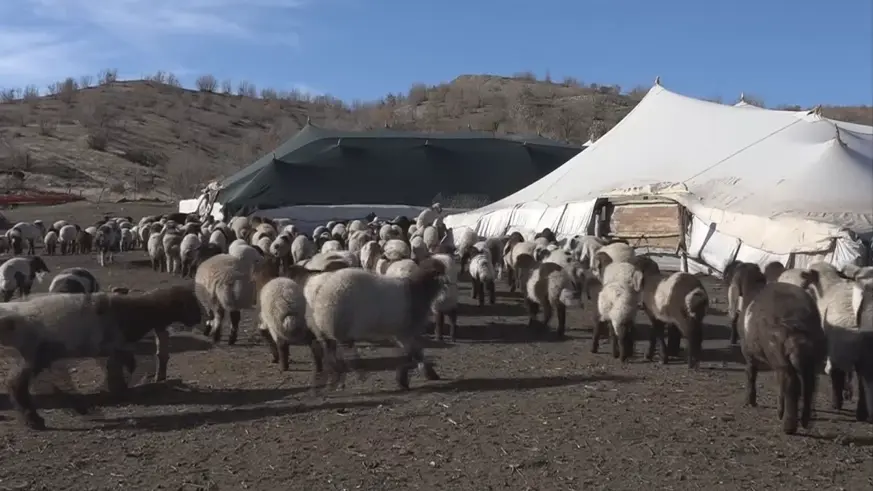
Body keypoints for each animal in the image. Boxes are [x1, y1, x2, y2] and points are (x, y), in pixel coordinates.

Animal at [0, 284, 201, 430]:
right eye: (192, 304)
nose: (200, 320)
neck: (138, 311)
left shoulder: (111, 349)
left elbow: (117, 370)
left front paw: (120, 390)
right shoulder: (113, 345)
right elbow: (122, 366)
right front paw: (123, 390)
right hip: (35, 354)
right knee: (16, 383)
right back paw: (34, 419)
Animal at [304, 264, 442, 390]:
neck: (420, 290)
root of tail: (317, 288)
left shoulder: (400, 333)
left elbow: (414, 354)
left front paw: (423, 374)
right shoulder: (405, 332)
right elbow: (414, 354)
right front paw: (407, 378)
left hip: (323, 327)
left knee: (327, 349)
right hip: (336, 324)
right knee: (335, 351)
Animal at [736, 270, 824, 434]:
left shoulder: (748, 351)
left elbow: (750, 373)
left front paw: (750, 402)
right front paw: (779, 411)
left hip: (778, 354)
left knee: (791, 384)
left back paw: (788, 426)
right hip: (807, 357)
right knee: (809, 384)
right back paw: (804, 422)